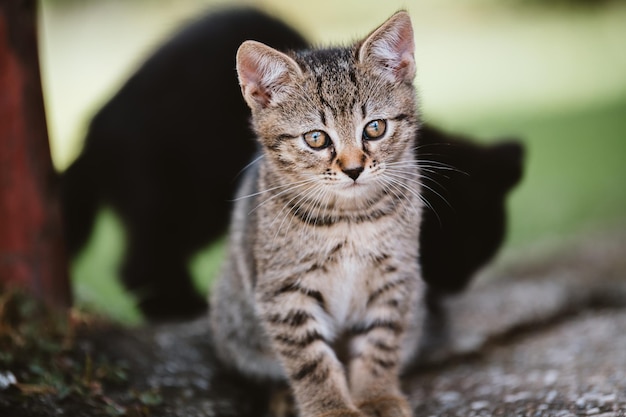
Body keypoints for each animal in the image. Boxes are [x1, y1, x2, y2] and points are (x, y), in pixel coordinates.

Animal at [62, 7, 520, 318]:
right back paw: (182, 308)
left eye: (374, 128)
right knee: (142, 260)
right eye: (452, 242)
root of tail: (96, 124)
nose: (456, 284)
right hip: (179, 193)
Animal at [208, 11, 420, 414]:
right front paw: (331, 407)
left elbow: (380, 343)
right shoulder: (284, 291)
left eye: (375, 127)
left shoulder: (394, 276)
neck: (350, 219)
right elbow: (310, 360)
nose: (354, 169)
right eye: (316, 138)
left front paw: (377, 396)